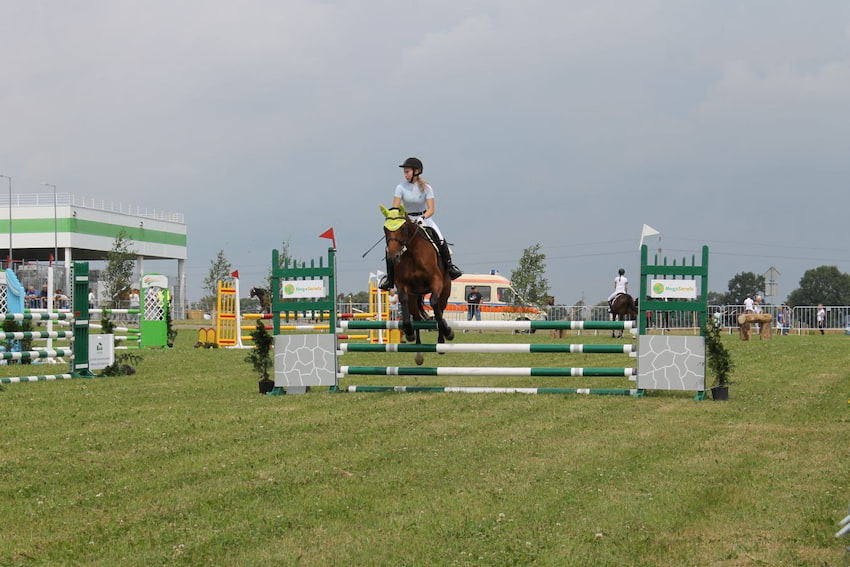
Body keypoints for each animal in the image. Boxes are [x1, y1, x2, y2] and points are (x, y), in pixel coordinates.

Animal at [380, 206, 454, 366]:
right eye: (385, 229)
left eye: (402, 228)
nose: (393, 257)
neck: (413, 254)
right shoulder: (403, 285)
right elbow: (403, 300)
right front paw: (408, 332)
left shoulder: (436, 282)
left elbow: (433, 302)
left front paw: (448, 332)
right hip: (415, 297)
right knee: (417, 318)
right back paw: (419, 353)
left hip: (445, 293)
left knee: (440, 310)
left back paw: (442, 342)